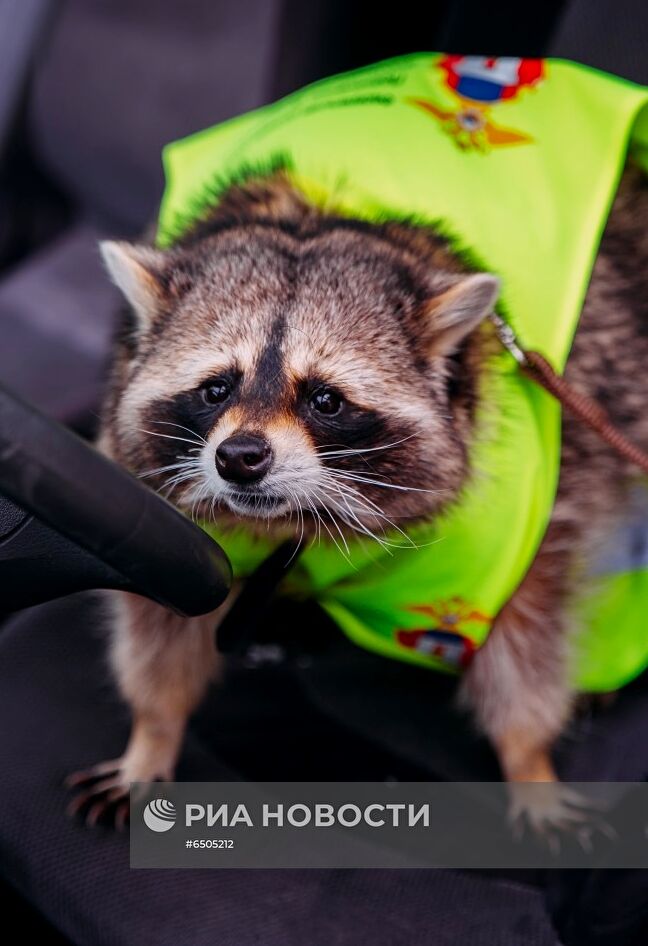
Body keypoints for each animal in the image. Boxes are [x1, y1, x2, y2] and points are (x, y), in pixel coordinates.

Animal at [67, 168, 648, 824]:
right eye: (216, 389)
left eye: (325, 399)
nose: (239, 458)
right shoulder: (156, 517)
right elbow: (159, 622)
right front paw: (153, 731)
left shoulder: (544, 496)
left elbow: (528, 629)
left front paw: (528, 757)